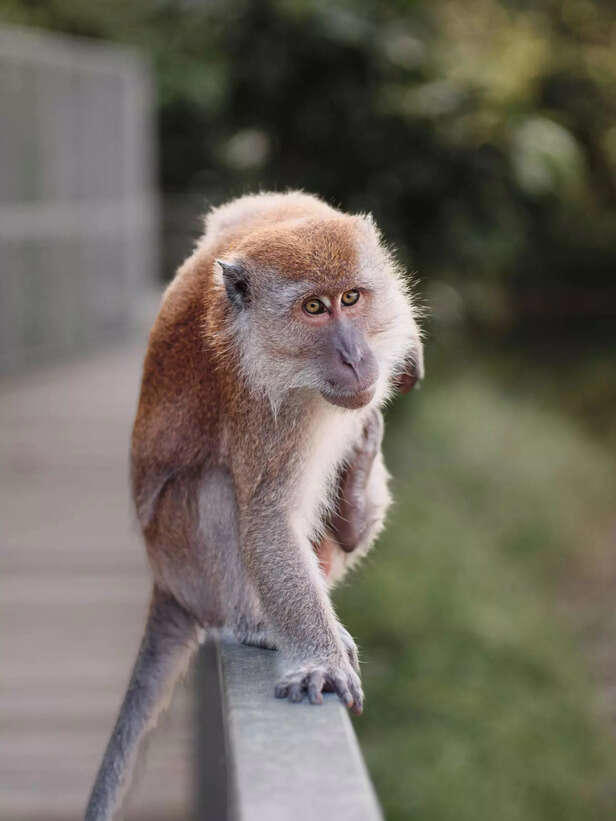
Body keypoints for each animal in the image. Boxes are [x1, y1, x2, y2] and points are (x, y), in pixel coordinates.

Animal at [84, 191, 423, 821]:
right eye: (314, 308)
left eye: (351, 298)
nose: (355, 356)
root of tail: (166, 585)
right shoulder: (268, 411)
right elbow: (266, 518)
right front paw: (321, 661)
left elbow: (250, 209)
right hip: (184, 559)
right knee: (218, 489)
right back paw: (254, 623)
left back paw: (353, 503)